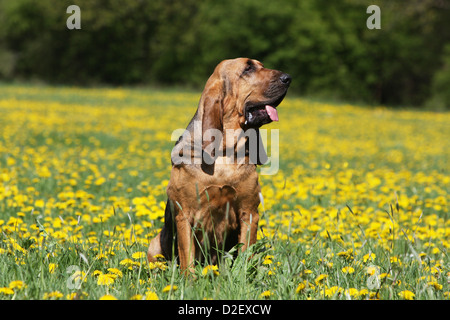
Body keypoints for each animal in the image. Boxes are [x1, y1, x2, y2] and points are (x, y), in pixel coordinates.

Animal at [146, 57, 290, 272]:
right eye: (248, 68)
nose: (288, 78)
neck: (224, 152)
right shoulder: (184, 216)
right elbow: (187, 258)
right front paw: (189, 280)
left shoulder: (249, 213)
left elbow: (246, 252)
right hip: (154, 243)